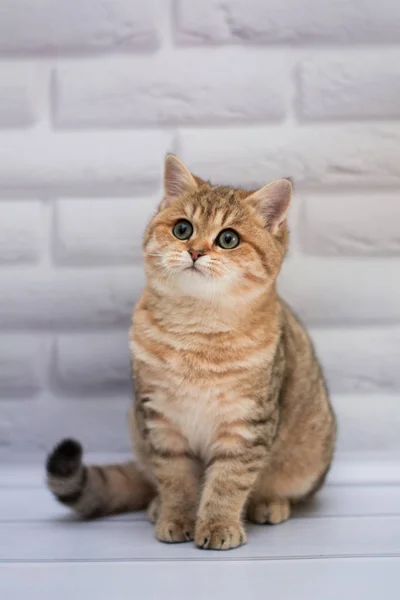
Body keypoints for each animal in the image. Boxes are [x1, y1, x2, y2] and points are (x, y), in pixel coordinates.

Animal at [45, 154, 336, 548]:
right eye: (182, 229)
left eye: (228, 238)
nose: (195, 251)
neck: (196, 328)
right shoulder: (161, 419)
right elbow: (176, 478)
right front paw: (177, 517)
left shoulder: (245, 424)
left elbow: (228, 482)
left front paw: (218, 525)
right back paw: (156, 506)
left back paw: (270, 504)